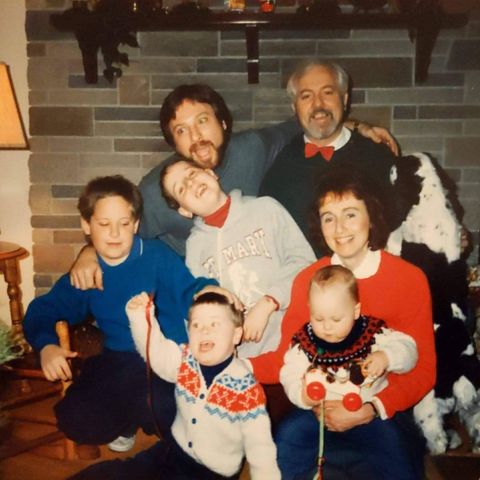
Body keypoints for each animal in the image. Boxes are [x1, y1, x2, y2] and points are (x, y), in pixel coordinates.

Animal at [386, 153, 480, 454]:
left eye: (399, 167)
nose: (390, 163)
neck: (431, 199)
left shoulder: (401, 241)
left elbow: (394, 238)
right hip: (476, 397)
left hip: (426, 403)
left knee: (437, 437)